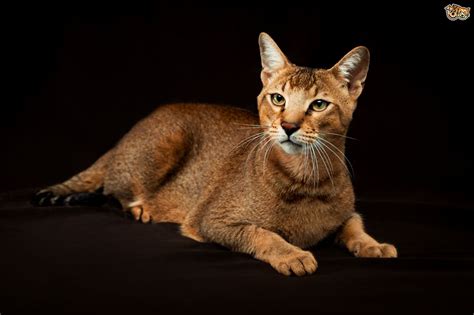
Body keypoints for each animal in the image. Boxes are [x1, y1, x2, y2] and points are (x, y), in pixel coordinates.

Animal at [33, 32, 396, 276]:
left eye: (319, 104)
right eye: (278, 98)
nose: (289, 126)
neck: (307, 179)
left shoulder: (346, 213)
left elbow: (354, 226)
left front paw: (373, 245)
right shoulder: (213, 220)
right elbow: (261, 233)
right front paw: (292, 254)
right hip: (165, 142)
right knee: (112, 191)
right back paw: (139, 209)